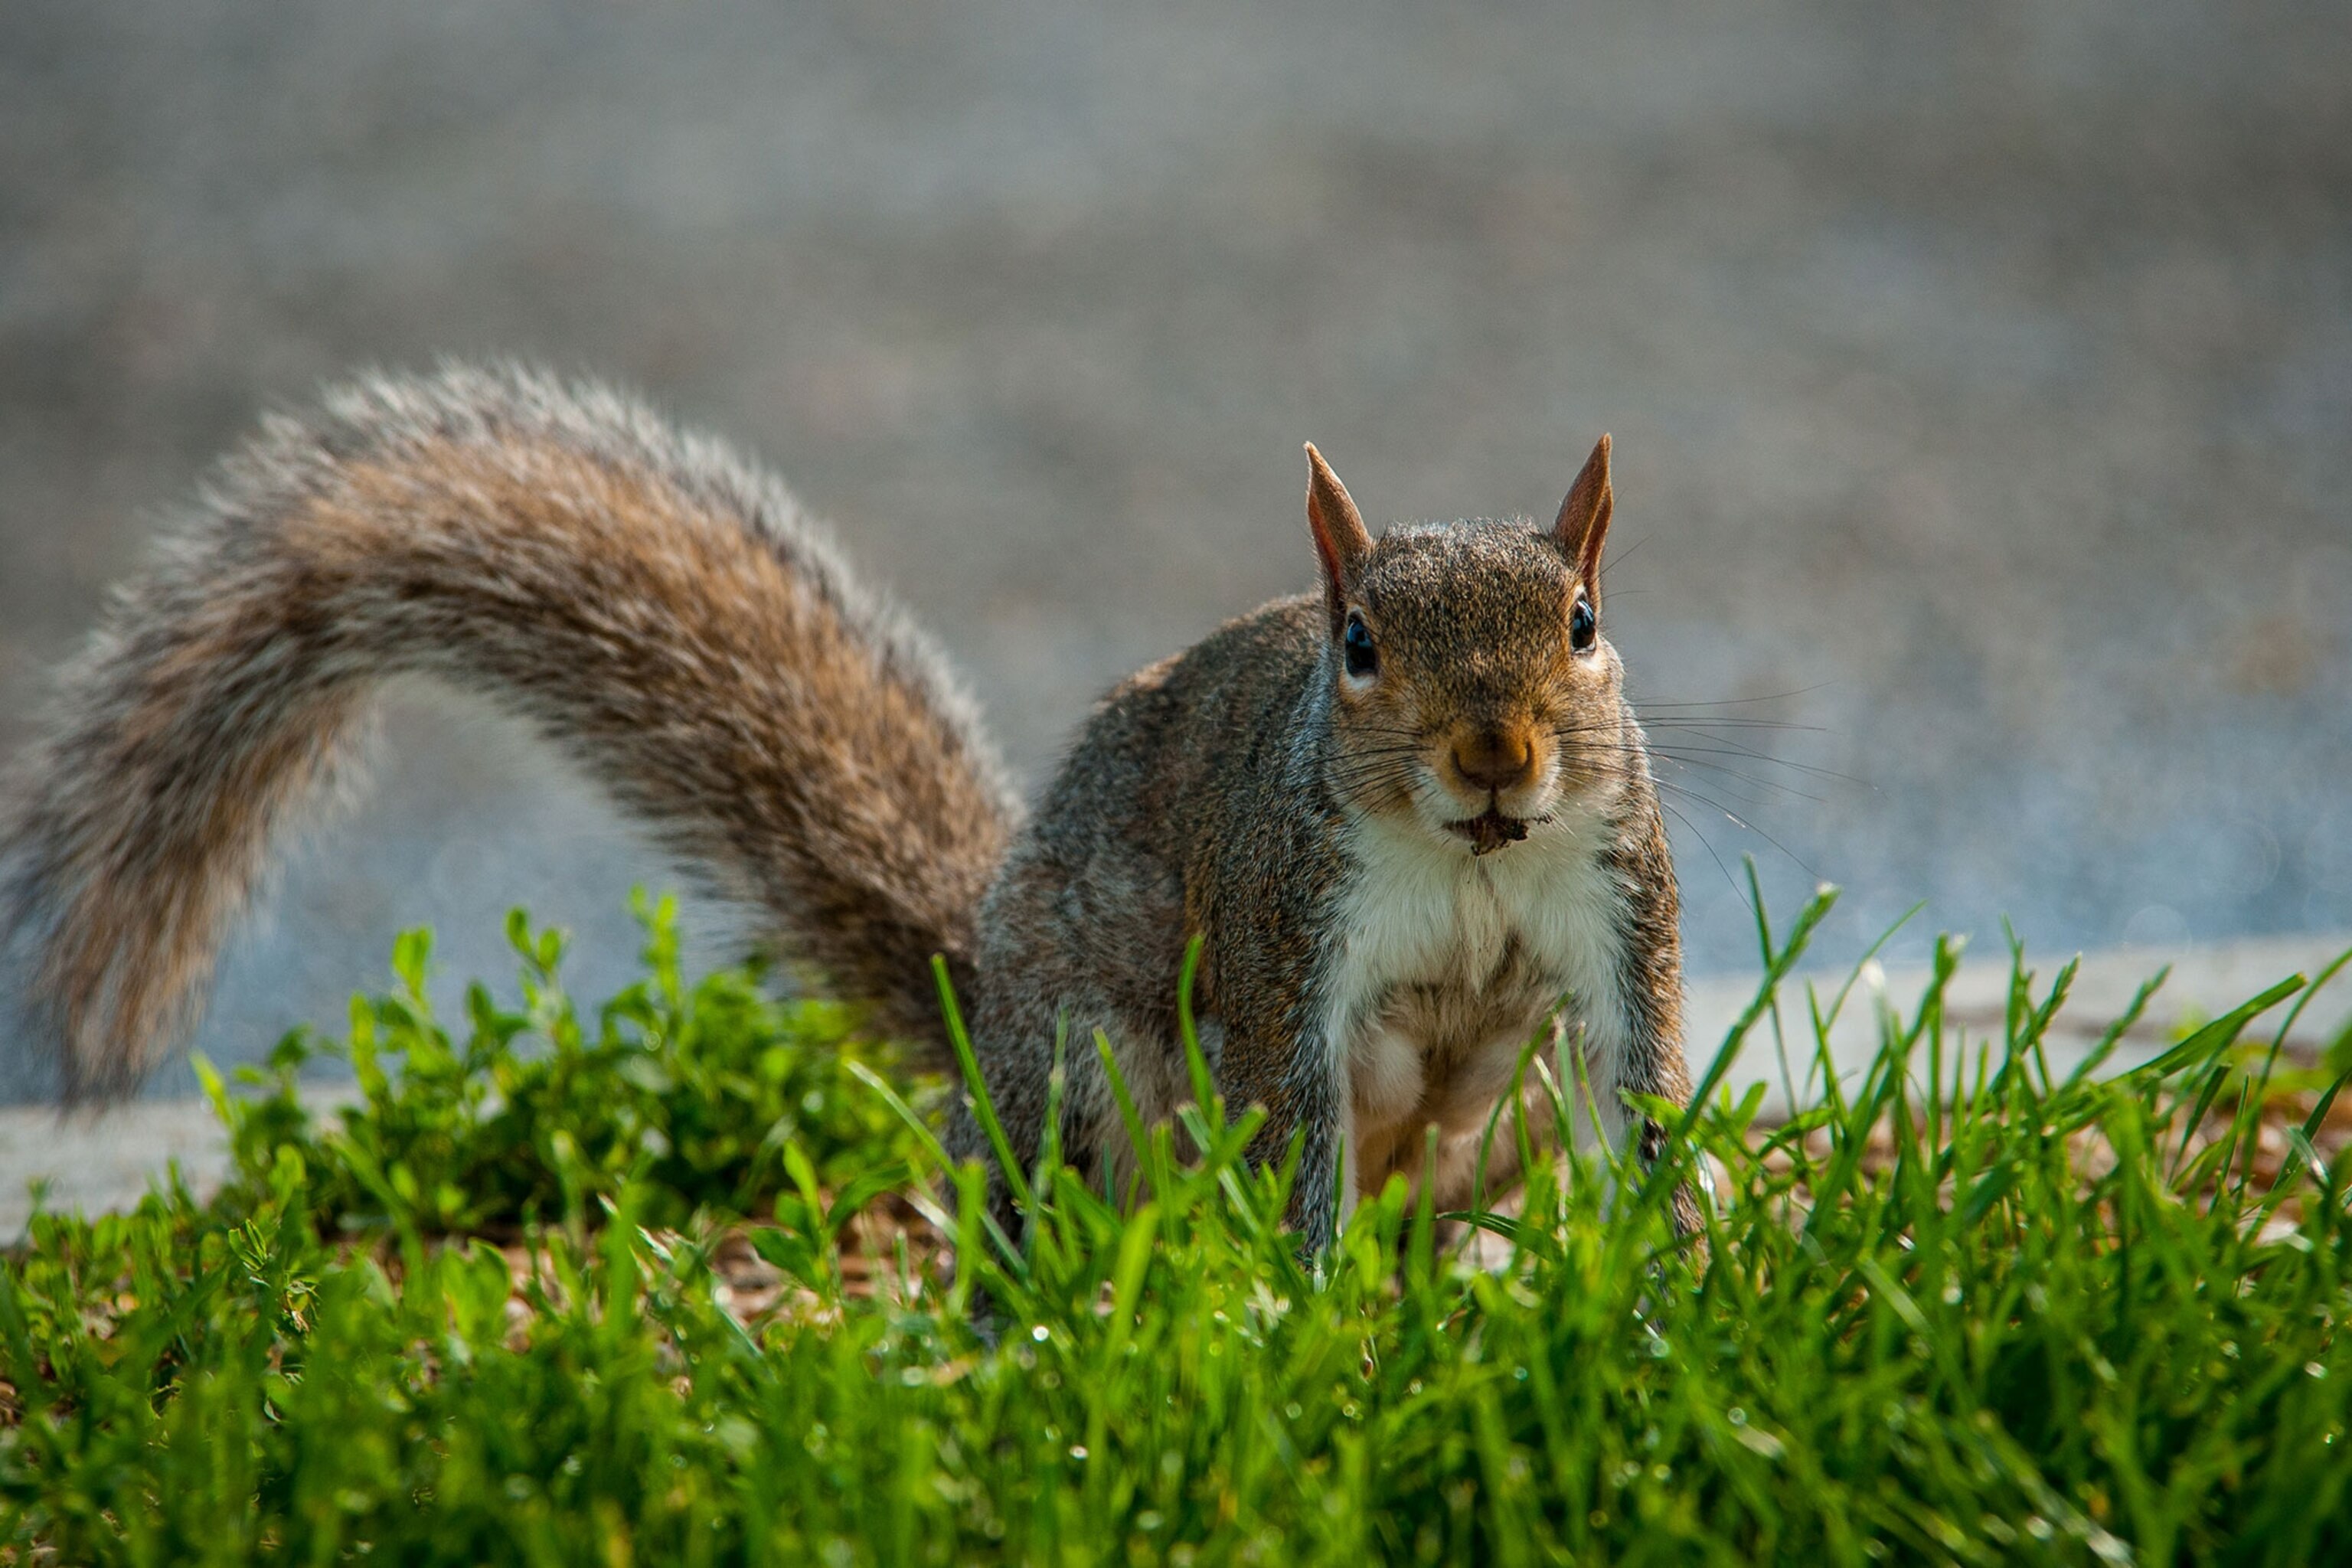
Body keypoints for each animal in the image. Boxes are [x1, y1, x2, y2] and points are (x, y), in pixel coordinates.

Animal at [0, 363, 1695, 1247]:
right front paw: (1315, 1317)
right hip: (1074, 1086)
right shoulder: (1287, 939)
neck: (1473, 862)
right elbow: (1297, 1128)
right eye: (1356, 647)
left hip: (1494, 1125)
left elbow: (1646, 1086)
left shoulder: (1620, 910)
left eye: (1584, 624)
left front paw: (1661, 1281)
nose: (1494, 753)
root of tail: (980, 994)